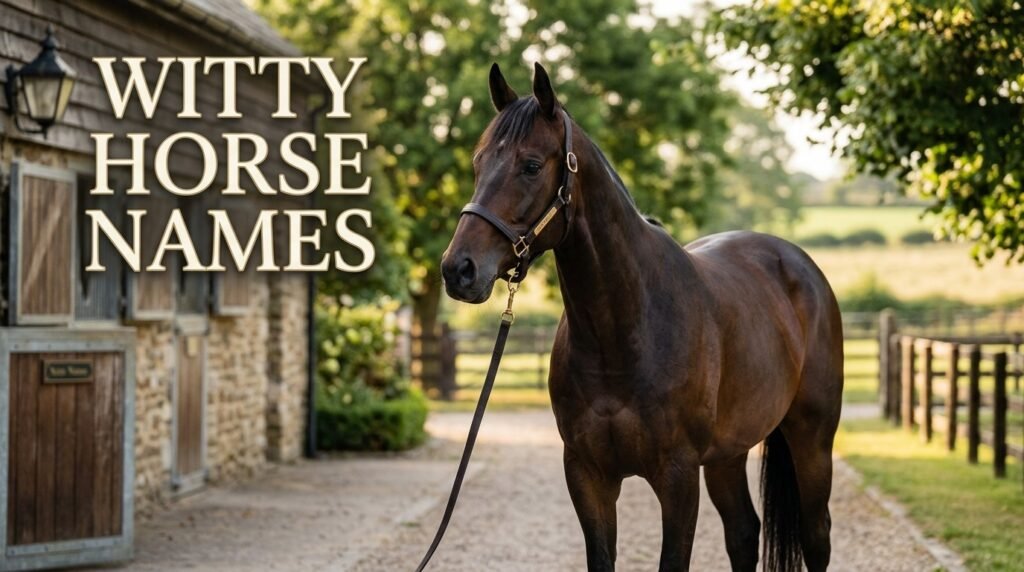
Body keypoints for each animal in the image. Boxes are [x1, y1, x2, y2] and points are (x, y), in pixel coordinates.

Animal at [440, 63, 844, 572]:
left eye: (530, 165)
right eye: (477, 164)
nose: (458, 270)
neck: (623, 331)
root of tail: (798, 264)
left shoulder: (677, 476)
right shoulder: (587, 475)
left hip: (812, 441)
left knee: (816, 536)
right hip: (727, 455)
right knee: (743, 533)